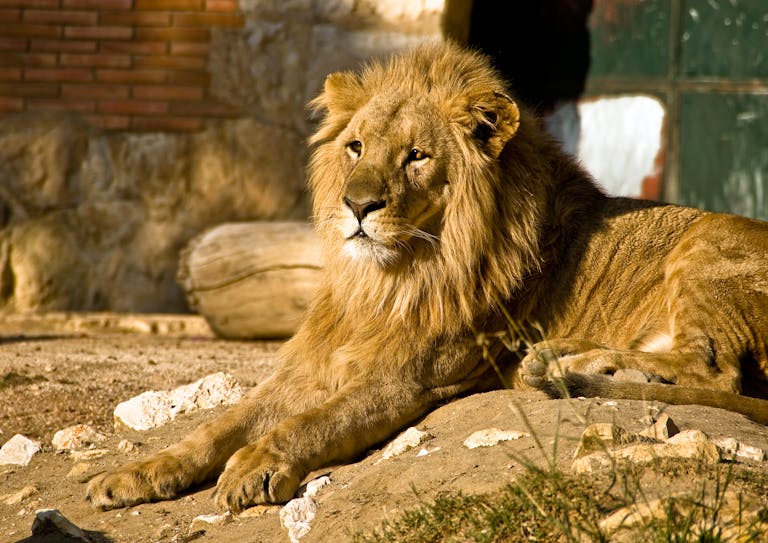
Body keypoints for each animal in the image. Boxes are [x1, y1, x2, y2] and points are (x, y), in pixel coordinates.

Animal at [87, 41, 768, 513]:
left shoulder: (408, 377)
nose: (357, 206)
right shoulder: (308, 366)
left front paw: (256, 465)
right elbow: (218, 425)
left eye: (416, 156)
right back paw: (564, 359)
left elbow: (316, 421)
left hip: (706, 242)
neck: (389, 279)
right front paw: (130, 476)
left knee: (717, 371)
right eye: (356, 147)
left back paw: (576, 368)